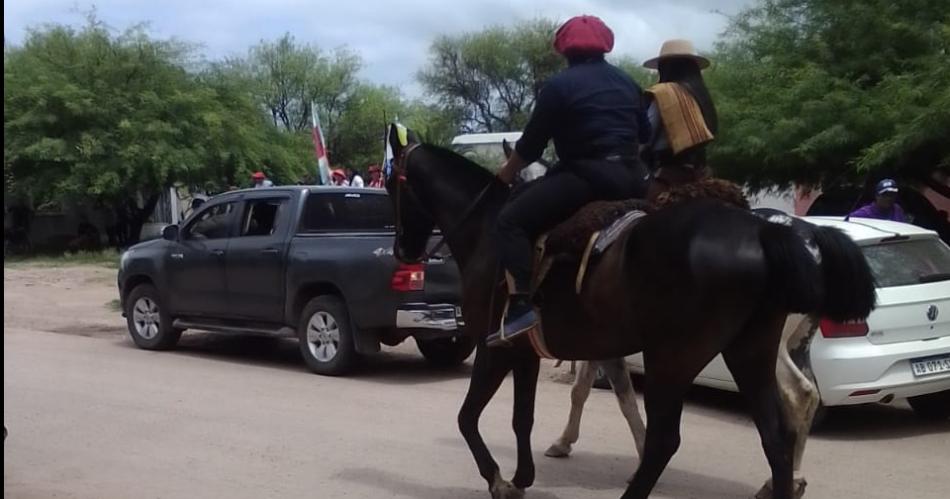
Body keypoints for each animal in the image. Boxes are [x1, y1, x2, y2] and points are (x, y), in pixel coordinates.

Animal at [386, 125, 876, 499]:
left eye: (391, 184)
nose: (403, 250)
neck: (488, 229)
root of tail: (765, 232)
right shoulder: (526, 351)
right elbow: (524, 416)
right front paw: (523, 476)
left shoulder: (496, 350)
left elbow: (468, 417)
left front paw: (500, 479)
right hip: (749, 350)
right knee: (778, 428)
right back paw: (782, 482)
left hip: (673, 359)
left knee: (670, 439)